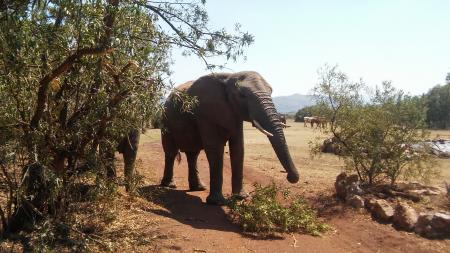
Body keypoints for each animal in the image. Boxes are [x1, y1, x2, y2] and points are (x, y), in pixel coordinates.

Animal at [160, 70, 300, 205]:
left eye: (271, 92)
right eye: (242, 96)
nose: (290, 177)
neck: (229, 77)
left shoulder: (235, 114)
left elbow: (238, 148)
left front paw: (241, 197)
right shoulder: (205, 113)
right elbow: (215, 148)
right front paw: (218, 202)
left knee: (193, 154)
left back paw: (199, 188)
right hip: (165, 122)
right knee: (171, 152)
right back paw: (169, 185)